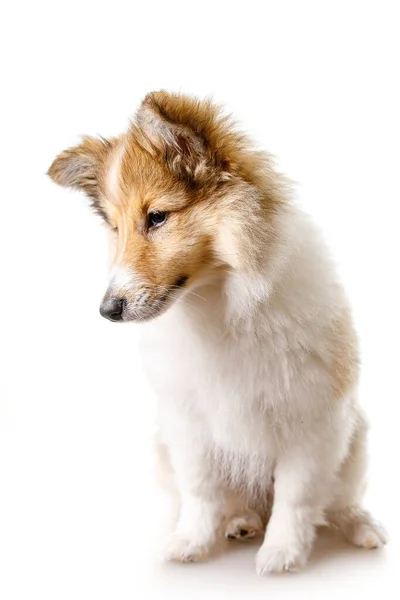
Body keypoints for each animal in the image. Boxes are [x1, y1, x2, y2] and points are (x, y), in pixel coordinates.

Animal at [47, 91, 388, 576]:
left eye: (157, 217)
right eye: (115, 228)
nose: (107, 310)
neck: (220, 301)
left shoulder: (311, 420)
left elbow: (297, 495)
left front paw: (282, 553)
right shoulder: (187, 423)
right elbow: (201, 490)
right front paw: (191, 541)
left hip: (354, 438)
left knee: (337, 500)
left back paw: (361, 527)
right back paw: (242, 522)